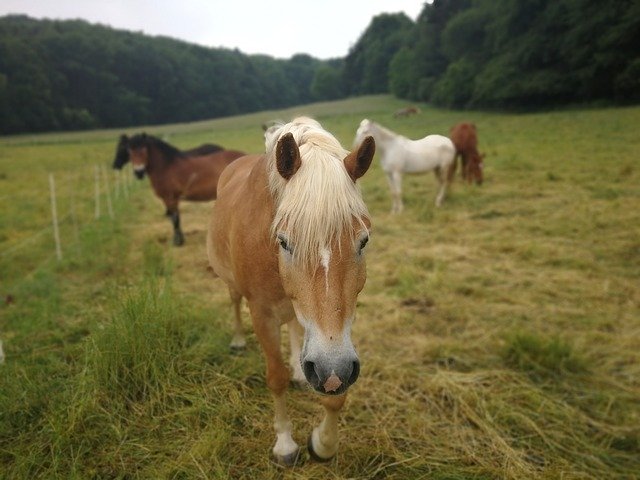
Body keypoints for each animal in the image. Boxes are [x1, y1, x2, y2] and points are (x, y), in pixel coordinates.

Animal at [112, 133, 245, 246]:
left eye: (144, 149)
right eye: (129, 150)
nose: (138, 172)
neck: (166, 167)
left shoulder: (170, 198)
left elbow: (175, 218)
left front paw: (177, 242)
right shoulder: (168, 199)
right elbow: (174, 218)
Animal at [205, 117, 376, 464]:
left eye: (363, 240)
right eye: (283, 241)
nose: (330, 369)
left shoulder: (339, 336)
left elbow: (336, 393)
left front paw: (323, 444)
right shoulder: (262, 314)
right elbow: (276, 378)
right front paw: (285, 444)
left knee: (298, 328)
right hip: (233, 286)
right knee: (234, 302)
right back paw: (238, 340)